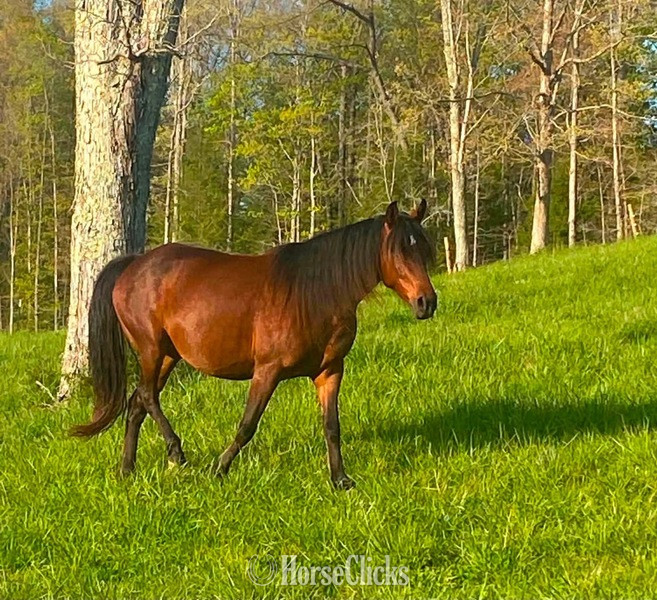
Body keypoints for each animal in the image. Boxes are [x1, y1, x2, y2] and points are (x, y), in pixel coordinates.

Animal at [71, 199, 437, 489]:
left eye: (424, 249)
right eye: (399, 251)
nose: (427, 302)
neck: (315, 294)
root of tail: (132, 265)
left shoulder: (330, 371)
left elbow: (332, 426)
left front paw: (340, 480)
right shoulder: (267, 371)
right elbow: (248, 424)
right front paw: (220, 469)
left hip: (167, 356)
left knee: (137, 404)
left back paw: (127, 470)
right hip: (150, 349)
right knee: (147, 396)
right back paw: (176, 452)